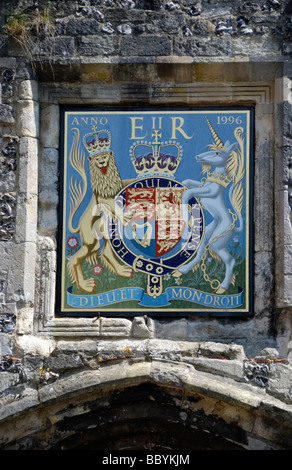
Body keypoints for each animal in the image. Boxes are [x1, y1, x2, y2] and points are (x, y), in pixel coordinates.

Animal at [66, 126, 133, 292]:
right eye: (97, 159)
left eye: (104, 156)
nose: (102, 161)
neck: (106, 178)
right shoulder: (103, 197)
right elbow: (112, 204)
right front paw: (124, 216)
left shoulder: (118, 187)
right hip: (91, 240)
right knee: (74, 259)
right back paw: (85, 286)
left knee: (106, 251)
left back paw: (121, 271)